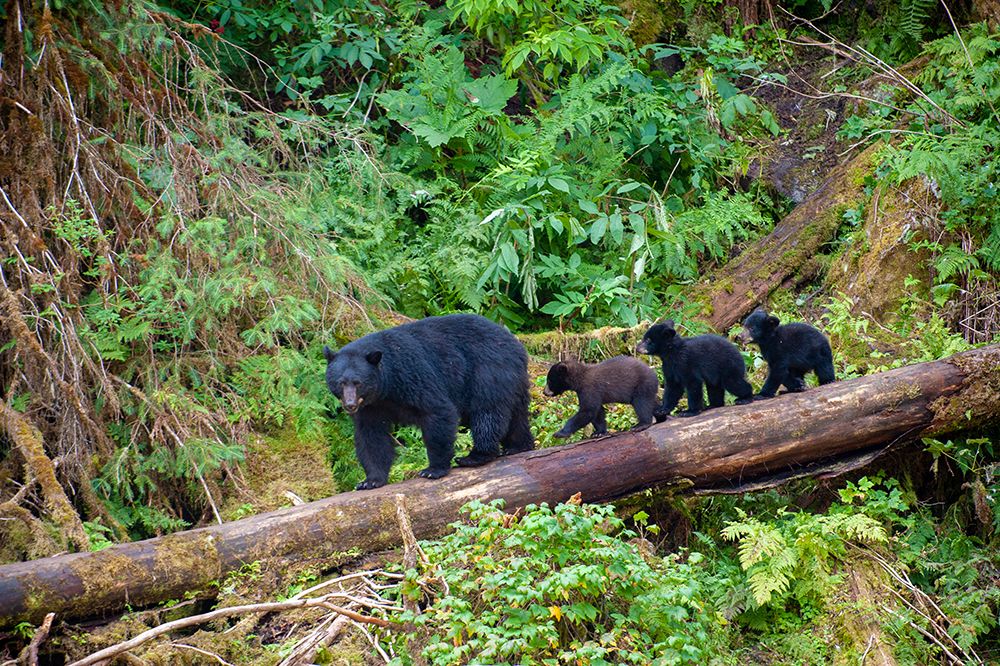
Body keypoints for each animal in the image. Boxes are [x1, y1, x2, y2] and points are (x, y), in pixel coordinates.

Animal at [323, 314, 534, 490]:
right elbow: (371, 435)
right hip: (513, 381)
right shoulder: (371, 406)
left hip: (488, 371)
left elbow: (438, 411)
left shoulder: (412, 375)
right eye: (341, 382)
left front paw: (433, 469)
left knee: (487, 413)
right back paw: (518, 446)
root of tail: (516, 345)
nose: (350, 405)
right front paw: (371, 480)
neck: (386, 386)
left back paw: (475, 456)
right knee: (516, 414)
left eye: (358, 382)